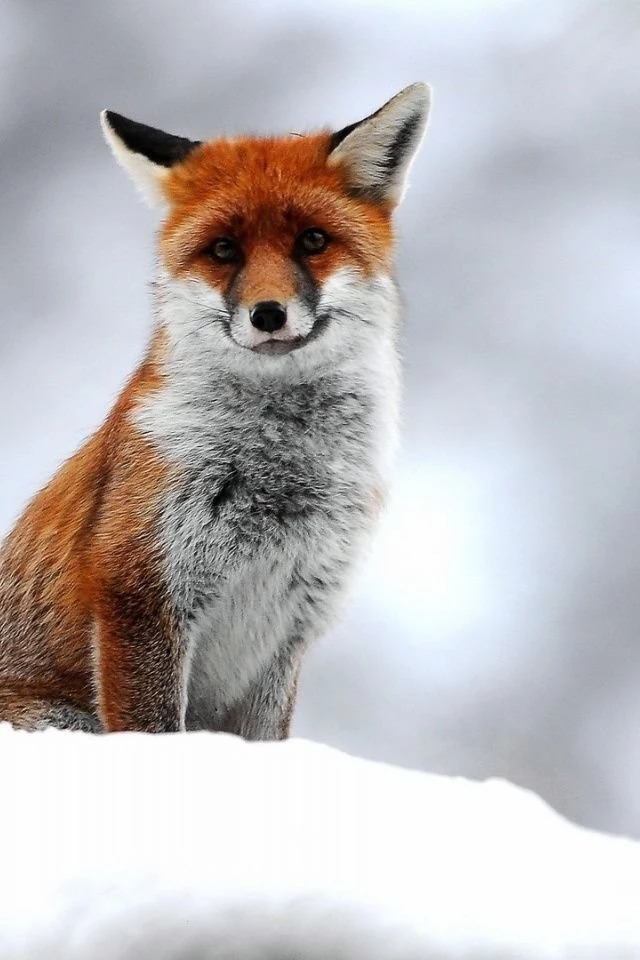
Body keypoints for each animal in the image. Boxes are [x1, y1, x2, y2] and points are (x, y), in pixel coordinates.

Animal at [0, 84, 430, 735]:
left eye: (313, 240)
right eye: (224, 250)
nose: (268, 313)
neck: (281, 473)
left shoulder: (287, 629)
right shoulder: (142, 590)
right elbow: (153, 731)